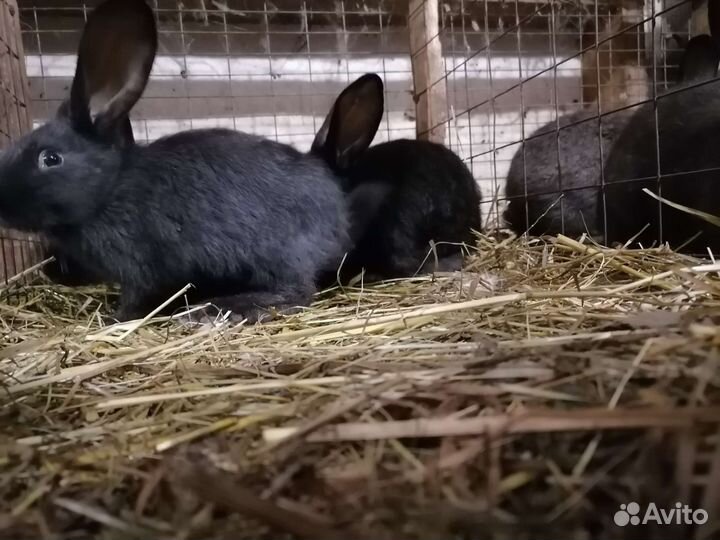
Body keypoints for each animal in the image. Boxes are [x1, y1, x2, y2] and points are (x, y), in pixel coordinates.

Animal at [0, 0, 379, 323]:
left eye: (50, 158)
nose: (1, 201)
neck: (110, 190)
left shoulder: (139, 265)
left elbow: (135, 298)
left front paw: (113, 319)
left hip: (280, 255)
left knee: (296, 292)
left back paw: (222, 307)